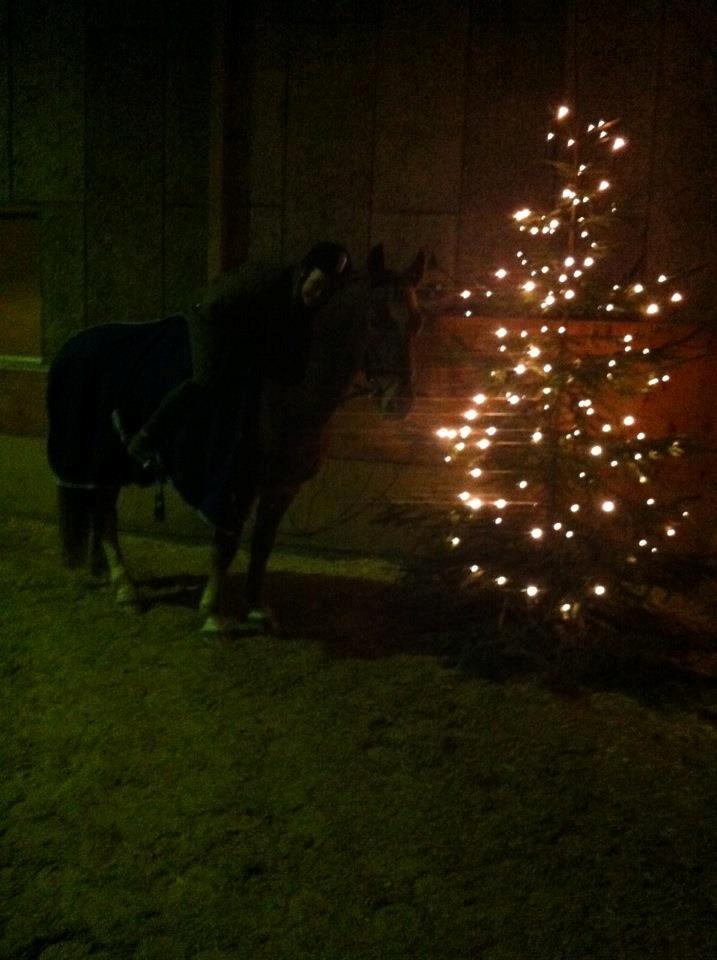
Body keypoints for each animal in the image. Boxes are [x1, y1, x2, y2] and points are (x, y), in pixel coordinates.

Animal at [49, 244, 426, 632]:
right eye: (375, 320)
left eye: (417, 321)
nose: (398, 401)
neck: (287, 390)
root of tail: (75, 342)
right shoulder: (234, 482)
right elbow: (226, 544)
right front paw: (213, 613)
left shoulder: (282, 486)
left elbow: (262, 543)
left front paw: (257, 606)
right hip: (101, 459)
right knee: (106, 516)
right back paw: (126, 588)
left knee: (99, 512)